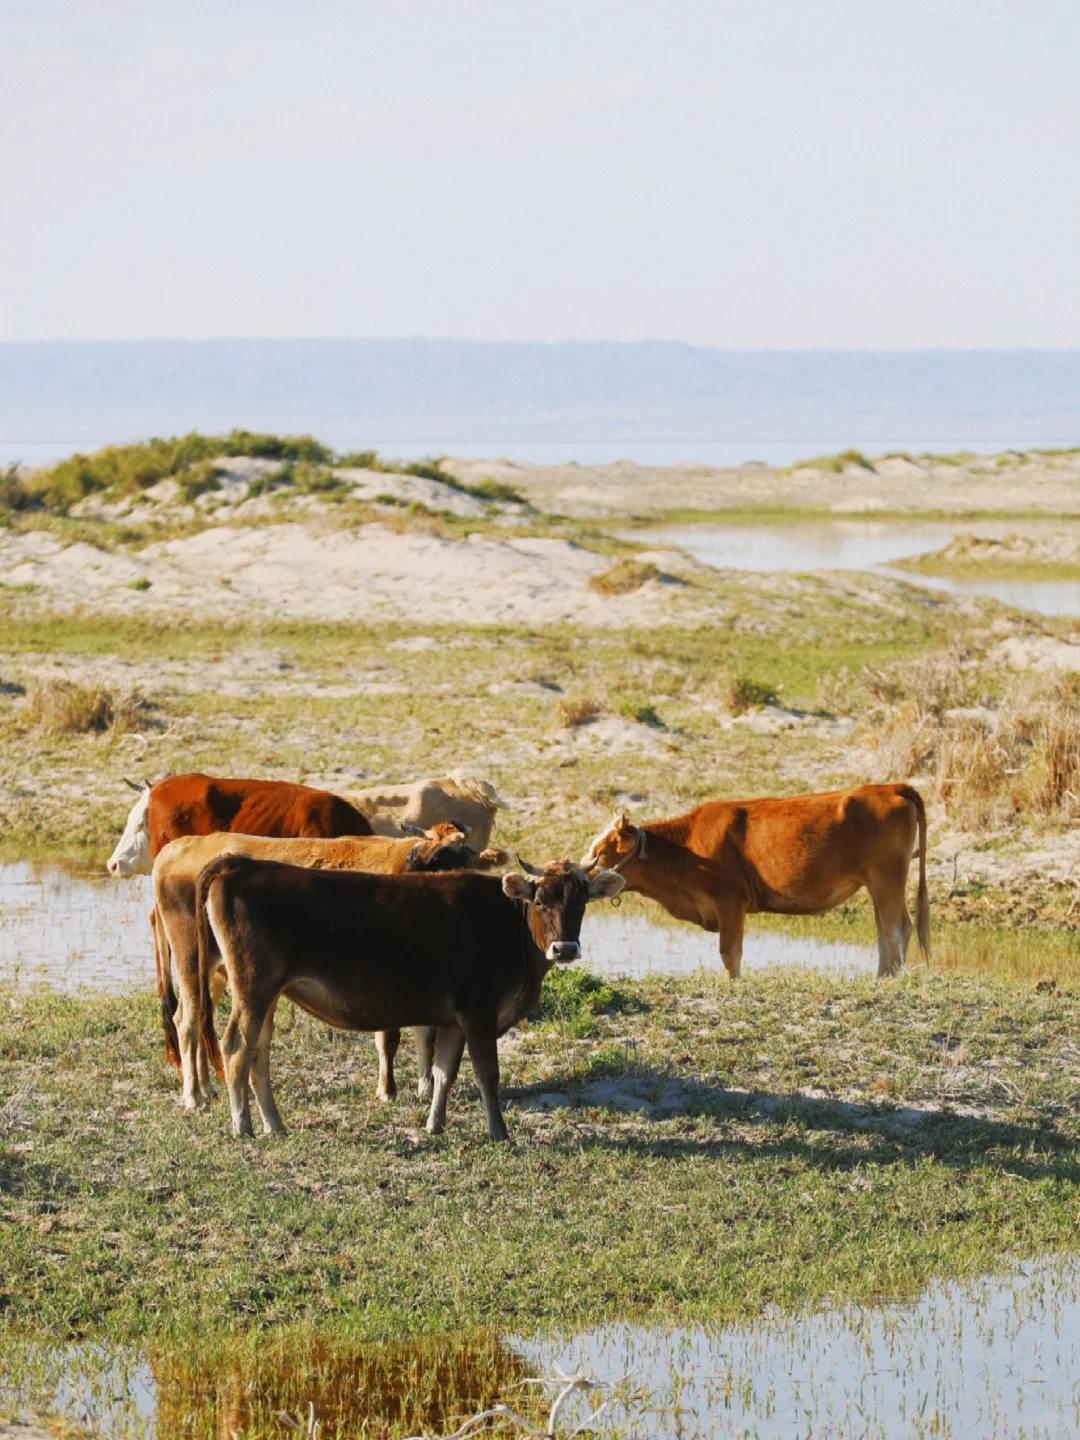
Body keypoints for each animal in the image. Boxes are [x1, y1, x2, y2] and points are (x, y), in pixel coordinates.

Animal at [154, 823, 509, 1111]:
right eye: (433, 858)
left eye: (464, 855)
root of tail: (176, 849)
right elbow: (389, 1037)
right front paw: (387, 1090)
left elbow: (427, 1035)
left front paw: (426, 1086)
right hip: (191, 958)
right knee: (186, 1020)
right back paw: (193, 1096)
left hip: (216, 971)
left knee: (200, 1018)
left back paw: (206, 1088)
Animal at [194, 858, 624, 1140]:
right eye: (539, 901)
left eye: (581, 901)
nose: (564, 948)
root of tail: (238, 866)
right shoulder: (478, 1010)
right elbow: (487, 1073)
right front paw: (499, 1132)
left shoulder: (454, 1018)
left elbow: (443, 1072)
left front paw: (435, 1125)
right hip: (253, 988)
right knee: (236, 1047)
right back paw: (242, 1126)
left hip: (266, 993)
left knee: (259, 1054)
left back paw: (275, 1124)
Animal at [584, 789, 933, 979]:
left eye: (600, 851)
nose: (580, 877)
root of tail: (890, 787)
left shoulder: (730, 902)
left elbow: (730, 953)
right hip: (876, 883)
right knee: (884, 932)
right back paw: (882, 977)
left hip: (887, 878)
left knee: (898, 928)